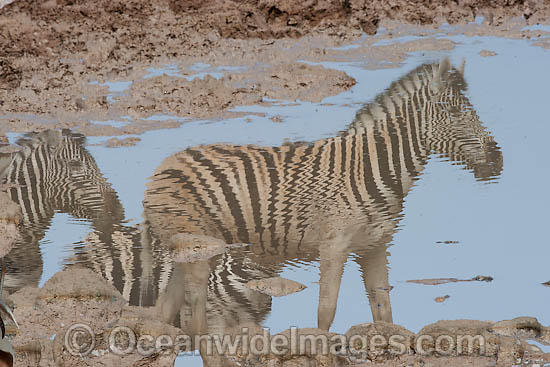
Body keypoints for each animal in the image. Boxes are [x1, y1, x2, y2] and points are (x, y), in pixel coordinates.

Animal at [143, 58, 504, 340]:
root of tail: (162, 167)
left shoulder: (375, 247)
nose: (497, 161)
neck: (372, 167)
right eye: (455, 112)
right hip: (197, 249)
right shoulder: (333, 246)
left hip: (185, 253)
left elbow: (384, 314)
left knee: (164, 310)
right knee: (195, 320)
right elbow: (326, 312)